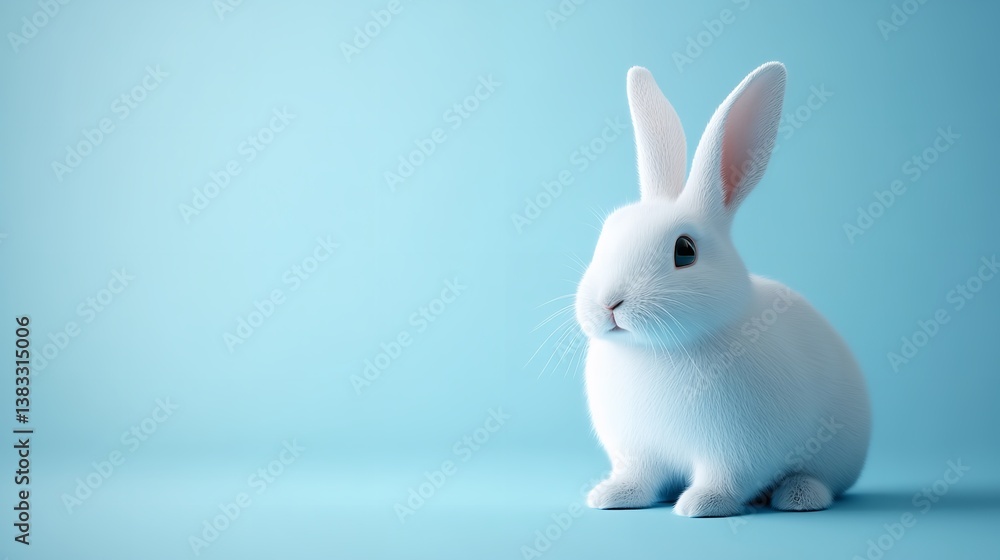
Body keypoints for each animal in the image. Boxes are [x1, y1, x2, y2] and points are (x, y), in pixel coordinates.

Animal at [574, 62, 871, 517]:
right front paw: (612, 496)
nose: (608, 303)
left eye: (685, 251)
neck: (657, 350)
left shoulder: (736, 452)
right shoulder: (638, 452)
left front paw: (701, 505)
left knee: (824, 482)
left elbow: (726, 480)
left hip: (835, 456)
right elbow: (639, 477)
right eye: (608, 233)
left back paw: (798, 496)